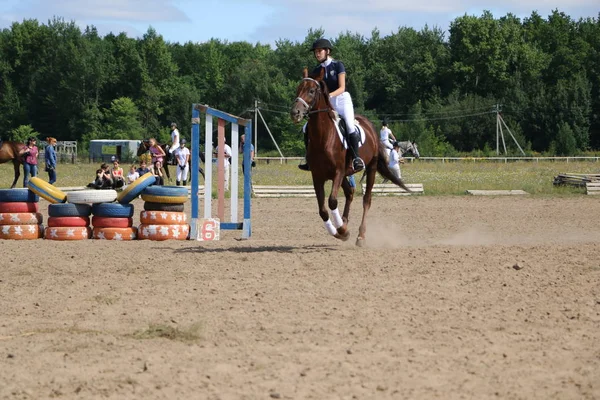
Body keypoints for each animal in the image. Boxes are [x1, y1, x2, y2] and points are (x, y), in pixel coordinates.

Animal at [290, 68, 412, 247]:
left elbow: (332, 201)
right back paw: (345, 222)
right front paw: (339, 231)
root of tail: (370, 125)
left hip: (370, 168)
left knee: (366, 199)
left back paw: (360, 236)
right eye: (298, 89)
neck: (323, 137)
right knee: (350, 192)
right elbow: (323, 210)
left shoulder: (338, 172)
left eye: (311, 91)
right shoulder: (317, 176)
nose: (295, 113)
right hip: (346, 174)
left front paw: (342, 230)